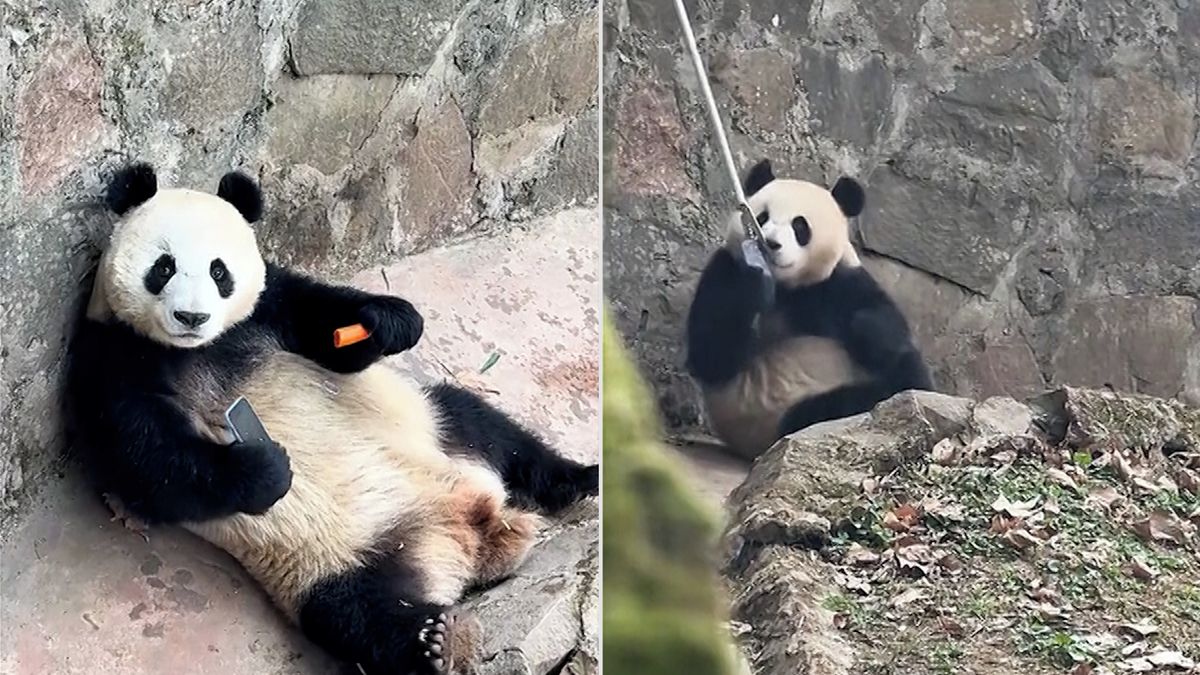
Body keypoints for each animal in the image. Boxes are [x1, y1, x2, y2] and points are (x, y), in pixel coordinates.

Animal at [66, 162, 599, 674]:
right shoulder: (111, 357)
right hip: (334, 560)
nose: (192, 318)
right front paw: (265, 469)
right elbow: (147, 466)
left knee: (492, 429)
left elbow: (328, 330)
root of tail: (474, 532)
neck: (199, 349)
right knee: (360, 616)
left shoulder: (271, 308)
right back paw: (437, 644)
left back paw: (580, 482)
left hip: (433, 424)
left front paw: (389, 322)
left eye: (220, 272)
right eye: (164, 267)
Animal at [685, 158, 933, 460]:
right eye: (763, 217)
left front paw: (869, 330)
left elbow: (882, 318)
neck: (789, 287)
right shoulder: (725, 268)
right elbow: (711, 356)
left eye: (800, 226)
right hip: (773, 417)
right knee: (824, 411)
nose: (770, 243)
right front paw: (753, 285)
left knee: (907, 367)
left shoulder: (840, 281)